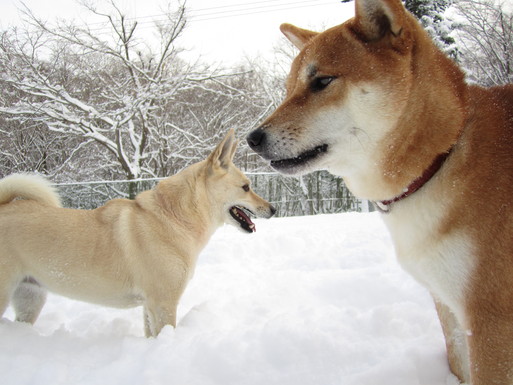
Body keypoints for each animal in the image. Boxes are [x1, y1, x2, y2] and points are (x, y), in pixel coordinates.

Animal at [1, 130, 276, 336]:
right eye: (246, 187)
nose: (273, 209)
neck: (174, 218)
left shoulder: (149, 307)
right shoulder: (163, 303)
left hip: (30, 297)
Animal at [246, 1, 512, 382]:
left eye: (321, 81)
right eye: (289, 89)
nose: (252, 139)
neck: (441, 158)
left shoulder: (490, 318)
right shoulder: (448, 304)